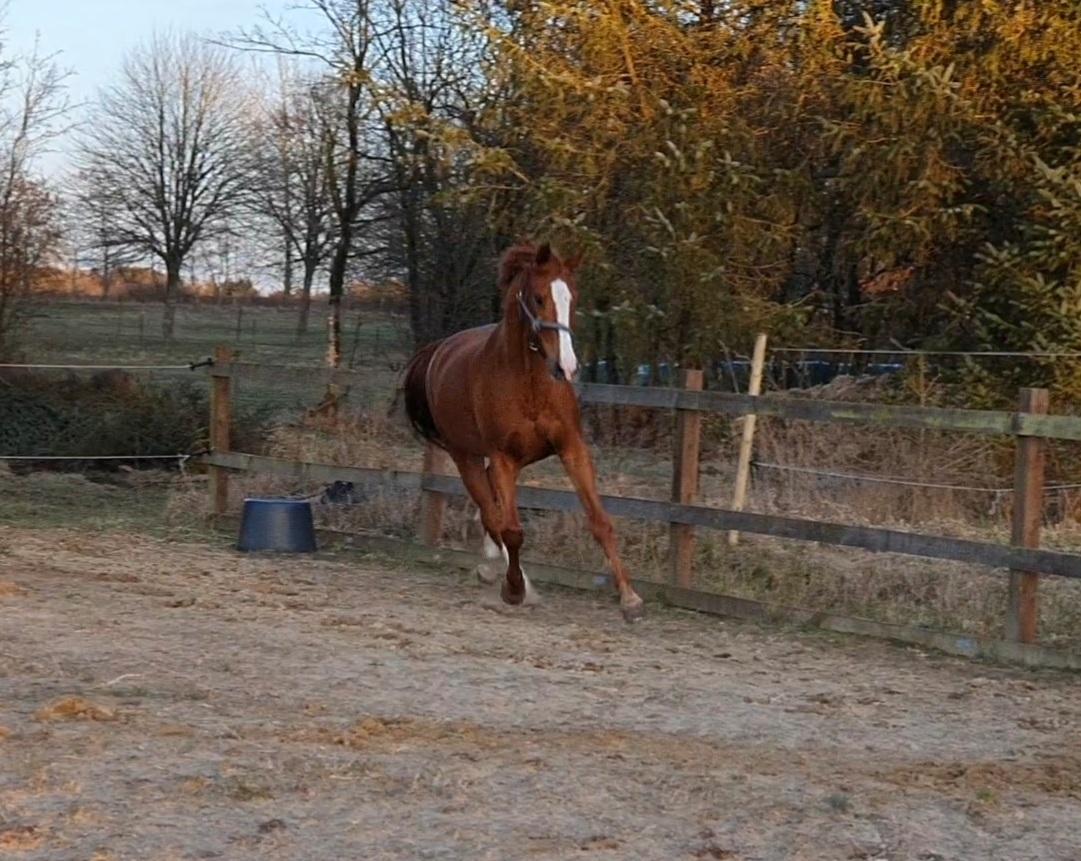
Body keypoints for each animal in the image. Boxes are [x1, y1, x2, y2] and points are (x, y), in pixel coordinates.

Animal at [404, 240, 639, 618]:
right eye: (539, 298)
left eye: (572, 297)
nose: (567, 366)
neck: (528, 383)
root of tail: (439, 350)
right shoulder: (503, 458)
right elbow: (512, 530)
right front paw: (514, 590)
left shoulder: (571, 447)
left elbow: (600, 520)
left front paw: (630, 598)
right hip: (465, 456)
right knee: (492, 515)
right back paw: (511, 579)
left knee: (491, 514)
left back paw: (489, 564)